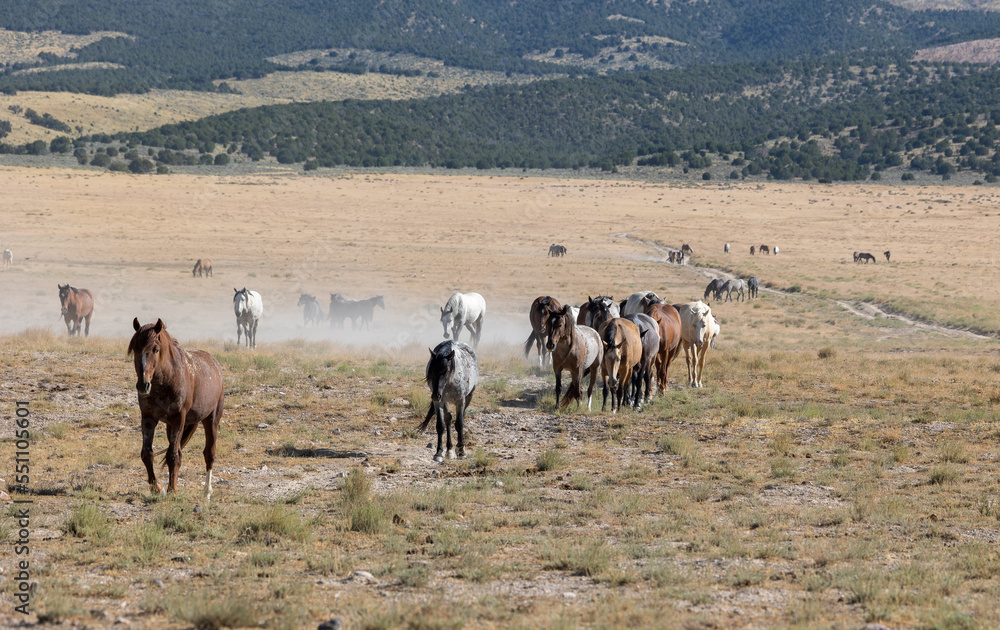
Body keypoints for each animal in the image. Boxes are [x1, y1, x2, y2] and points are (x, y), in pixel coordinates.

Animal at [128, 318, 224, 501]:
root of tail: (214, 363)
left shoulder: (179, 418)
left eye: (155, 349)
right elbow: (147, 453)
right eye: (135, 348)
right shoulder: (148, 418)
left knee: (209, 454)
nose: (143, 385)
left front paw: (172, 490)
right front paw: (157, 487)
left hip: (211, 420)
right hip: (170, 427)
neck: (167, 380)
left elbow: (173, 456)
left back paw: (207, 492)